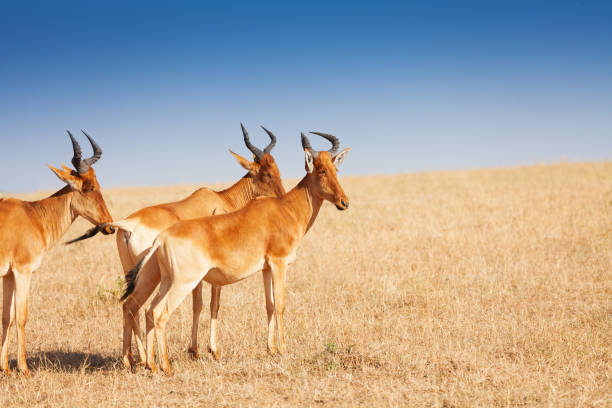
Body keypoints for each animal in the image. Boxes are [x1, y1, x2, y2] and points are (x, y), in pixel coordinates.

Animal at [0, 131, 113, 376]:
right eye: (90, 187)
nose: (110, 226)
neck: (32, 215)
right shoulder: (23, 271)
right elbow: (21, 316)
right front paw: (24, 369)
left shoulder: (8, 275)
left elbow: (7, 317)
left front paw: (5, 368)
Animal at [109, 124, 284, 366]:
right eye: (266, 173)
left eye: (277, 168)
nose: (283, 198)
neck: (222, 199)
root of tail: (129, 224)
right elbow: (211, 305)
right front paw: (211, 350)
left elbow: (197, 304)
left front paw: (195, 350)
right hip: (151, 275)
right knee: (137, 306)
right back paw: (144, 359)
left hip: (132, 272)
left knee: (129, 306)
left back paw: (133, 358)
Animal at [122, 131, 350, 376]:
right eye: (321, 170)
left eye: (336, 169)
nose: (344, 202)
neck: (284, 209)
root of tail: (161, 238)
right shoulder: (279, 264)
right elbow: (280, 304)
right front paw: (283, 349)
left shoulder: (266, 268)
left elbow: (269, 305)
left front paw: (271, 349)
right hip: (183, 283)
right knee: (159, 313)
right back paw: (165, 366)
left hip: (164, 280)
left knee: (146, 310)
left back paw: (151, 364)